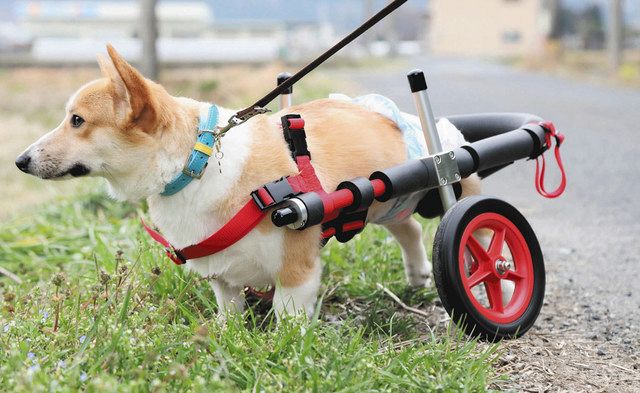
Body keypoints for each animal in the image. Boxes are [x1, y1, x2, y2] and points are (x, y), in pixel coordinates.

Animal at [17, 45, 482, 318]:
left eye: (77, 121)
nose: (20, 160)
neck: (196, 162)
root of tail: (385, 112)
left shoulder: (297, 270)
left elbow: (288, 320)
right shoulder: (224, 277)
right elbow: (229, 315)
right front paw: (230, 336)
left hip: (453, 181)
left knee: (466, 224)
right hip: (381, 196)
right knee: (406, 226)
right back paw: (418, 273)